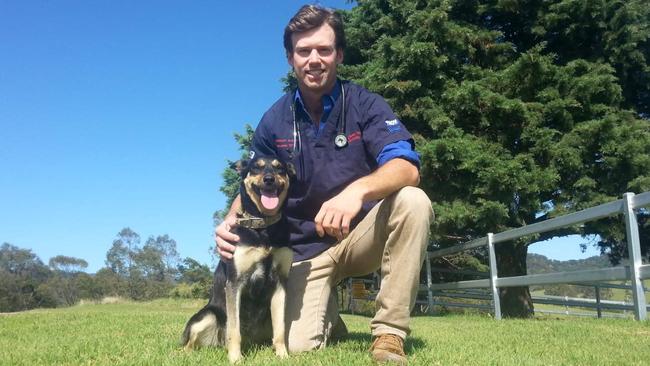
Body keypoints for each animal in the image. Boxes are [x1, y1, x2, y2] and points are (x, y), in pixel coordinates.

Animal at [181, 157, 294, 364]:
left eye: (280, 168)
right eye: (256, 167)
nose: (269, 179)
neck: (263, 226)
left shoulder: (281, 283)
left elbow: (281, 329)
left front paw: (283, 356)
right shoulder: (235, 283)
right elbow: (234, 330)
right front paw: (235, 359)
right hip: (207, 317)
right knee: (189, 344)